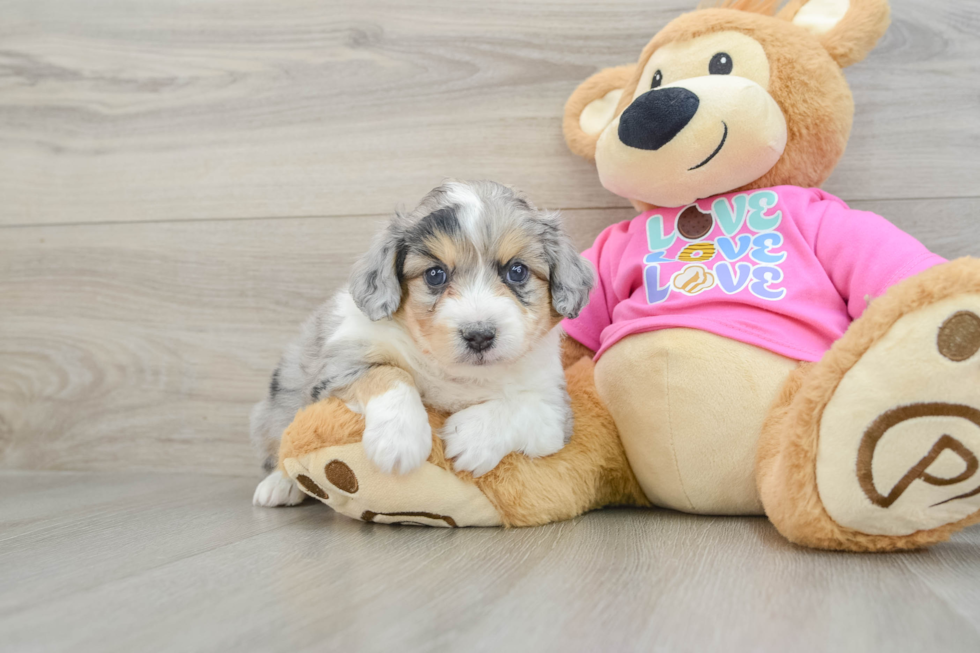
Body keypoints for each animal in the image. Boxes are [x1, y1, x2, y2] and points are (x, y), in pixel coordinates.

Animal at [249, 181, 592, 506]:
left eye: (517, 271)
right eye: (435, 275)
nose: (479, 335)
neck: (458, 374)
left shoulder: (556, 410)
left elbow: (525, 407)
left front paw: (472, 437)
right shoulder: (339, 364)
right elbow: (389, 374)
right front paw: (399, 439)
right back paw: (279, 485)